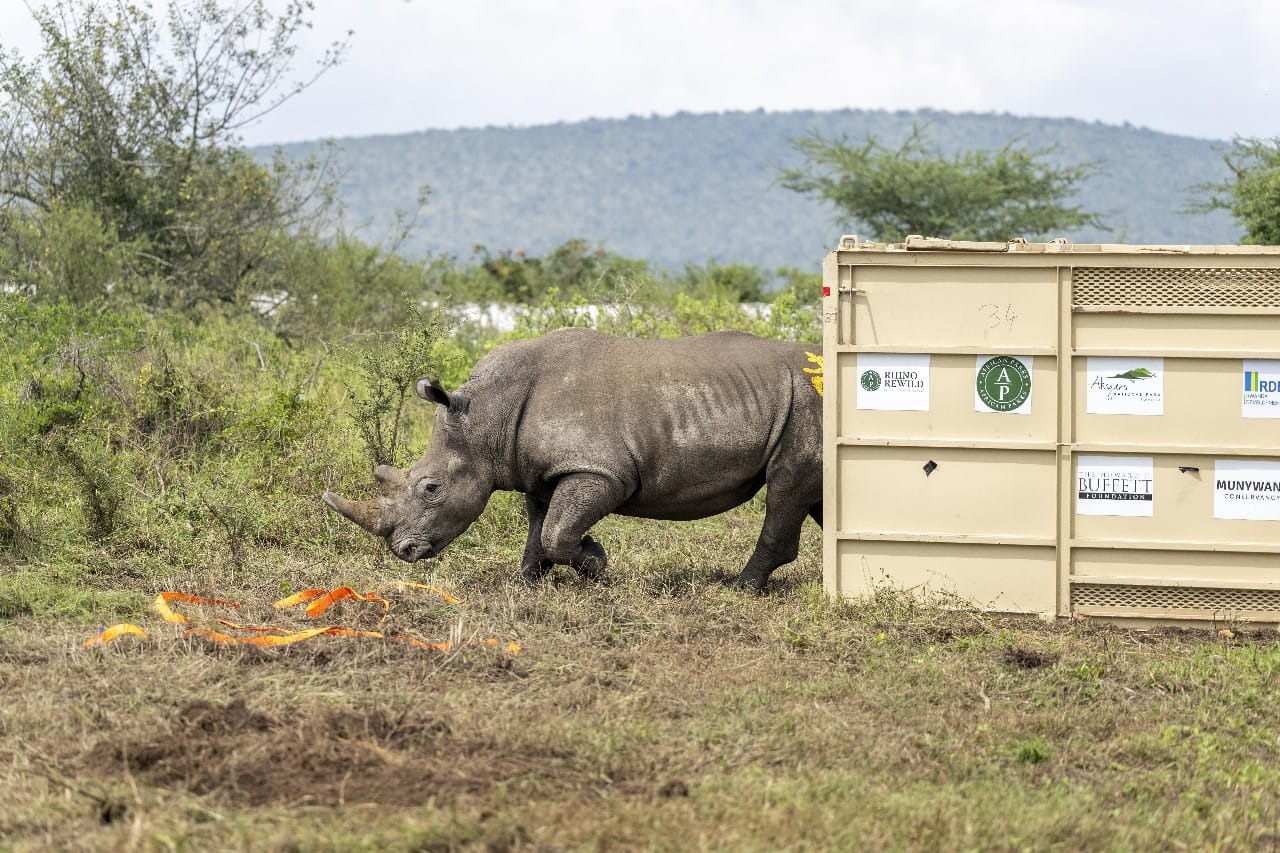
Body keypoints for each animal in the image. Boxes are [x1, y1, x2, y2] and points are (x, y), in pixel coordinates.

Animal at [323, 327, 823, 591]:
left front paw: (596, 562)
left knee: (787, 488)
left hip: (809, 403)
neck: (487, 416)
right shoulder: (539, 472)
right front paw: (526, 582)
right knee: (818, 498)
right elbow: (539, 527)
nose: (402, 551)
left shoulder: (599, 472)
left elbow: (557, 531)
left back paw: (741, 588)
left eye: (431, 489)